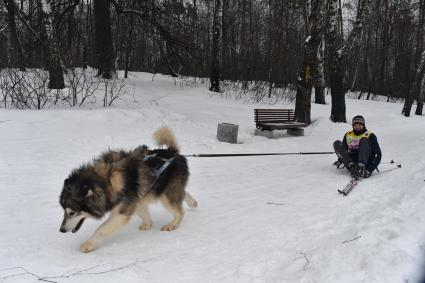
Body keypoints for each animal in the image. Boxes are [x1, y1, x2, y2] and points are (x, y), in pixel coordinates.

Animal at [58, 127, 197, 254]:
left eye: (72, 212)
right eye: (63, 210)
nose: (61, 230)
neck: (107, 182)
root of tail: (173, 152)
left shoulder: (122, 211)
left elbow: (101, 229)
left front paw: (88, 244)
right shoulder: (135, 199)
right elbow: (142, 212)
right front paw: (148, 223)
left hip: (166, 195)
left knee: (179, 211)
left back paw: (172, 224)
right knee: (182, 193)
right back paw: (192, 202)